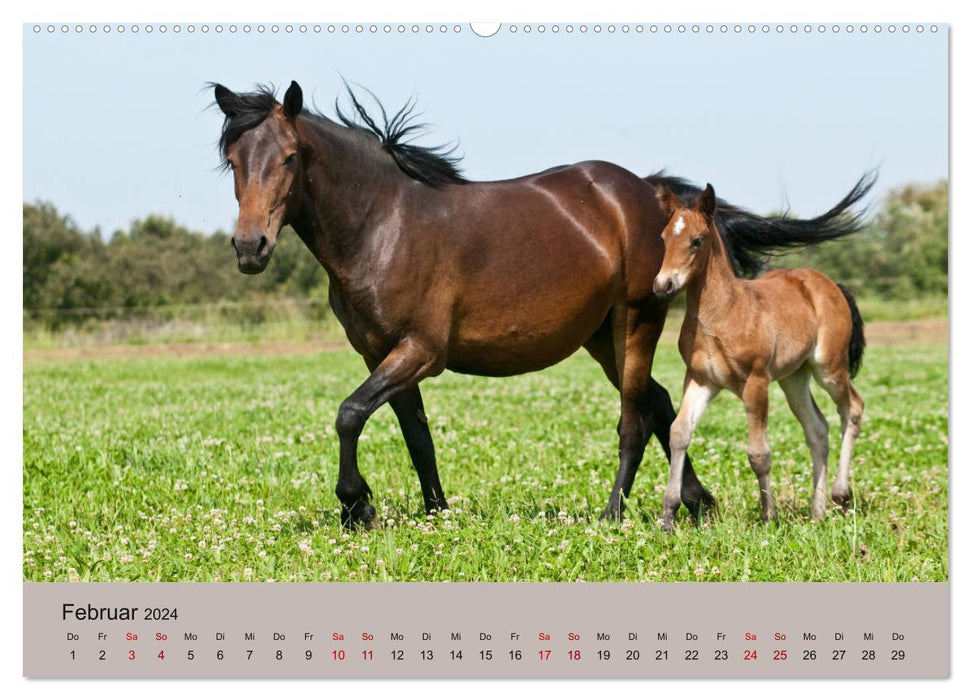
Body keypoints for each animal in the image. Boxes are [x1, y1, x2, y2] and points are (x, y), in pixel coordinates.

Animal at [652, 183, 864, 528]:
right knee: (817, 429)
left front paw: (768, 516)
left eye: (697, 241)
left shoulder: (756, 382)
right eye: (664, 237)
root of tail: (829, 284)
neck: (721, 312)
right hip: (795, 378)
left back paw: (840, 494)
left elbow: (759, 453)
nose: (663, 285)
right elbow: (679, 433)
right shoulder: (700, 380)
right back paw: (817, 511)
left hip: (829, 367)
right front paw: (668, 516)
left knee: (853, 408)